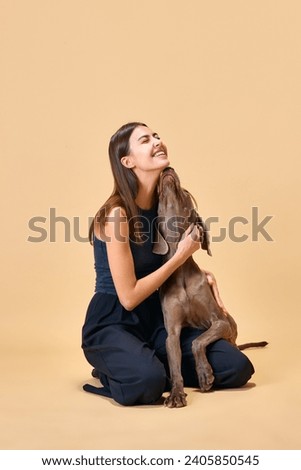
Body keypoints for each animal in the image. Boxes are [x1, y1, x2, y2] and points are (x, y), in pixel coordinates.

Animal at [154, 166, 266, 408]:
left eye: (186, 192)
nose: (167, 169)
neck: (181, 270)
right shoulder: (172, 333)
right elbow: (175, 365)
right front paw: (176, 393)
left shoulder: (220, 321)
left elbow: (197, 341)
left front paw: (204, 374)